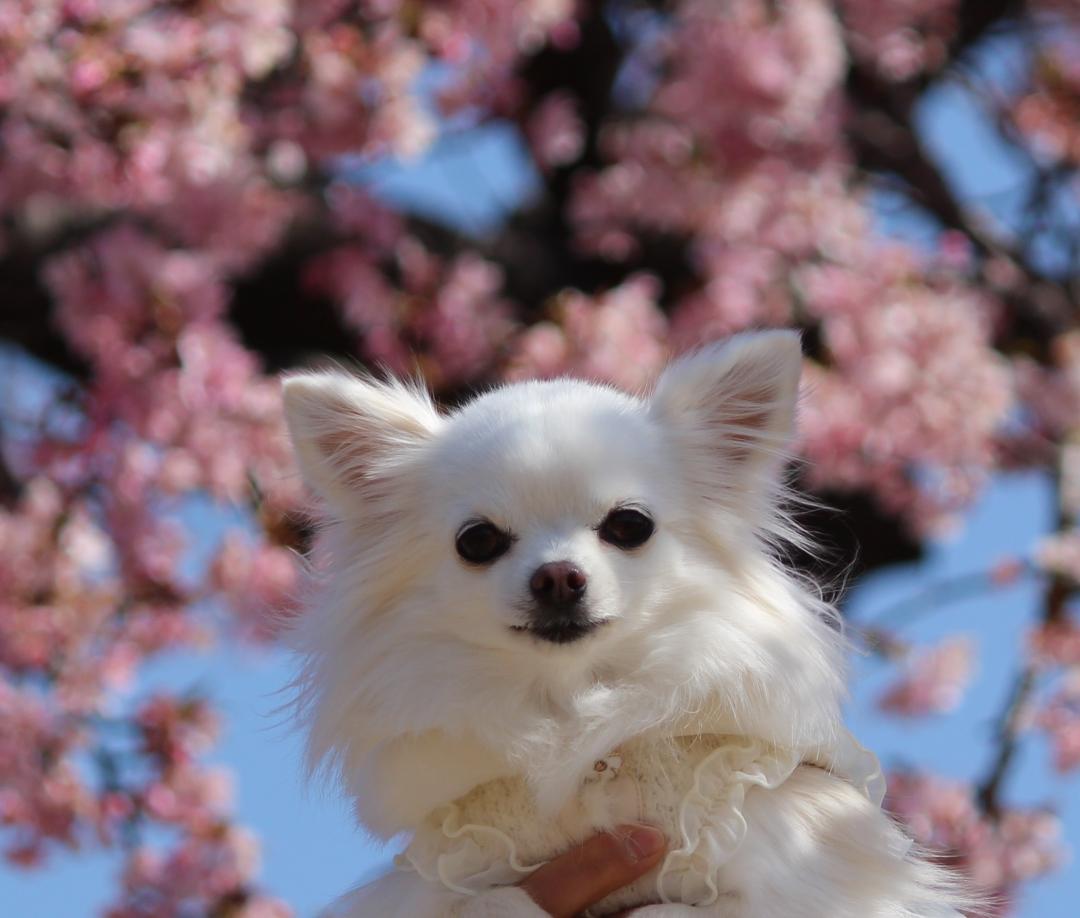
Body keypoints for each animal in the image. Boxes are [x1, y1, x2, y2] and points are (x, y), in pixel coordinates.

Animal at [280, 332, 972, 915]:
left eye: (629, 525)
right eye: (477, 541)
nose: (557, 577)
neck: (578, 719)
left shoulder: (798, 862)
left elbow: (678, 910)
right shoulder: (450, 875)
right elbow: (492, 904)